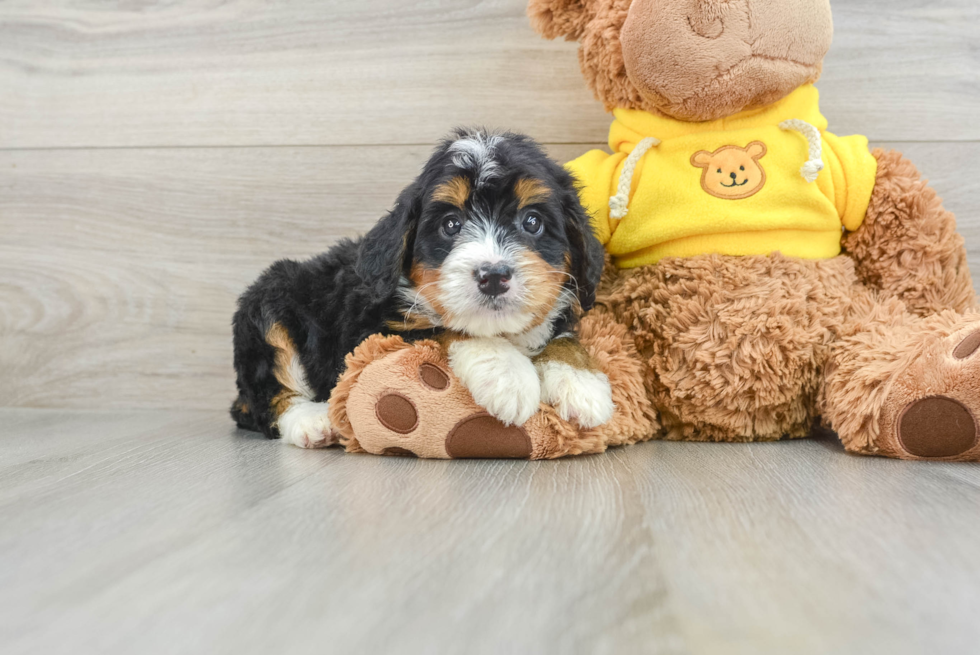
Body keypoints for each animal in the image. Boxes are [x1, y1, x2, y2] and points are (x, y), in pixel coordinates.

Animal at [231, 132, 612, 452]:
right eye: (451, 224)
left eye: (532, 222)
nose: (493, 276)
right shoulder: (370, 334)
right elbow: (449, 328)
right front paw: (507, 374)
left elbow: (564, 338)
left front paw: (582, 382)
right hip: (268, 303)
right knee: (269, 394)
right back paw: (313, 421)